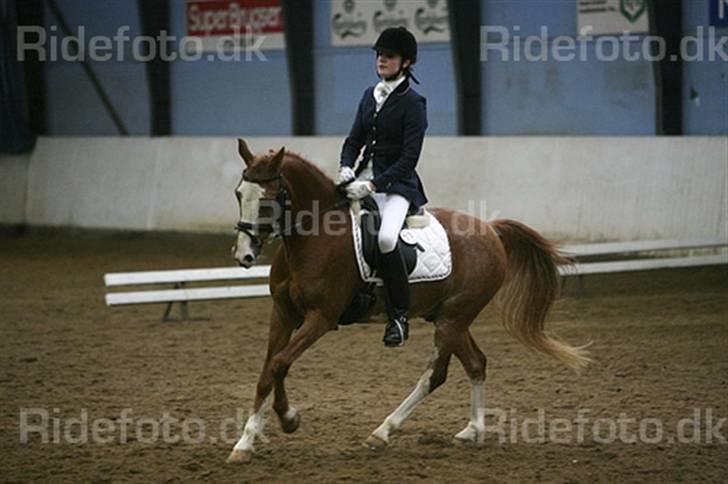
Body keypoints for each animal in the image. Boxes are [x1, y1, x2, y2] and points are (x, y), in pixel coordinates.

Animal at [228, 139, 592, 462]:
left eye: (268, 200)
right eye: (238, 194)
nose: (244, 256)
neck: (315, 236)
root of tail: (490, 228)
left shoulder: (321, 318)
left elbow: (280, 363)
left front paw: (289, 418)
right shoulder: (283, 313)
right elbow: (267, 371)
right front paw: (245, 443)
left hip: (453, 319)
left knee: (436, 374)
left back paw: (383, 432)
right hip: (449, 318)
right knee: (476, 363)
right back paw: (472, 430)